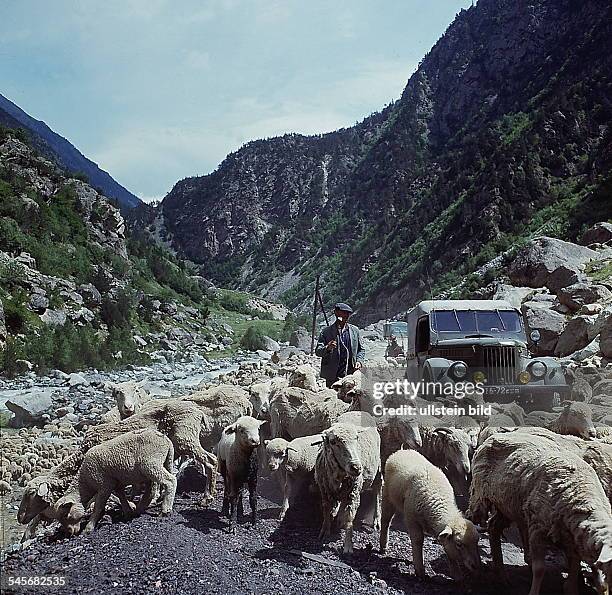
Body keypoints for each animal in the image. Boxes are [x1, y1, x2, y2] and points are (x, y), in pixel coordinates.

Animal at [314, 410, 380, 556]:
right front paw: (325, 530)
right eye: (333, 441)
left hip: (378, 468)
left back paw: (377, 519)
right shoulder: (324, 490)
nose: (356, 467)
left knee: (378, 490)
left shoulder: (353, 495)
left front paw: (348, 546)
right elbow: (326, 510)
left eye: (357, 438)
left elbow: (349, 519)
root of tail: (359, 411)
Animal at [378, 452, 482, 584]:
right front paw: (420, 570)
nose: (476, 566)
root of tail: (401, 451)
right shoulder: (412, 519)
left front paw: (457, 574)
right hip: (388, 496)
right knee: (386, 520)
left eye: (477, 541)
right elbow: (418, 541)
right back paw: (383, 546)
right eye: (459, 544)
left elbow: (447, 547)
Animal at [468, 434, 612, 595]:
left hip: (507, 505)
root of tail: (495, 436)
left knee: (494, 527)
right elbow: (539, 569)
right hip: (480, 496)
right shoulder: (537, 529)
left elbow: (574, 567)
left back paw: (502, 576)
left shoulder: (572, 539)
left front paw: (572, 588)